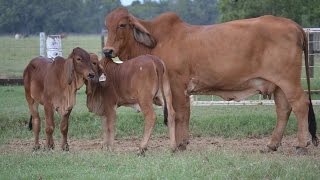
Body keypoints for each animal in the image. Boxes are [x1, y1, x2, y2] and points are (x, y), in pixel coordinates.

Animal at [103, 7, 318, 153]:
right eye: (107, 25)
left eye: (122, 25)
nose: (107, 51)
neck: (156, 42)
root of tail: (295, 25)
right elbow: (185, 114)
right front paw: (183, 142)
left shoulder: (176, 85)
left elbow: (180, 114)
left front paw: (180, 144)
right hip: (279, 85)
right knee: (283, 109)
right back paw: (272, 145)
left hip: (288, 80)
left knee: (300, 104)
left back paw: (301, 144)